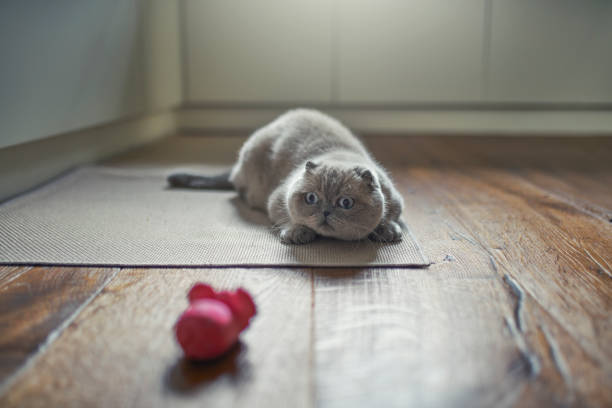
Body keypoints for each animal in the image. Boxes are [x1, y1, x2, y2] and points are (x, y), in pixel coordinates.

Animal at [170, 108, 404, 244]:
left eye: (345, 203)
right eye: (311, 198)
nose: (325, 212)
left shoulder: (395, 200)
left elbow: (390, 217)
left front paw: (387, 230)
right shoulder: (276, 199)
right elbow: (286, 217)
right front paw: (297, 234)